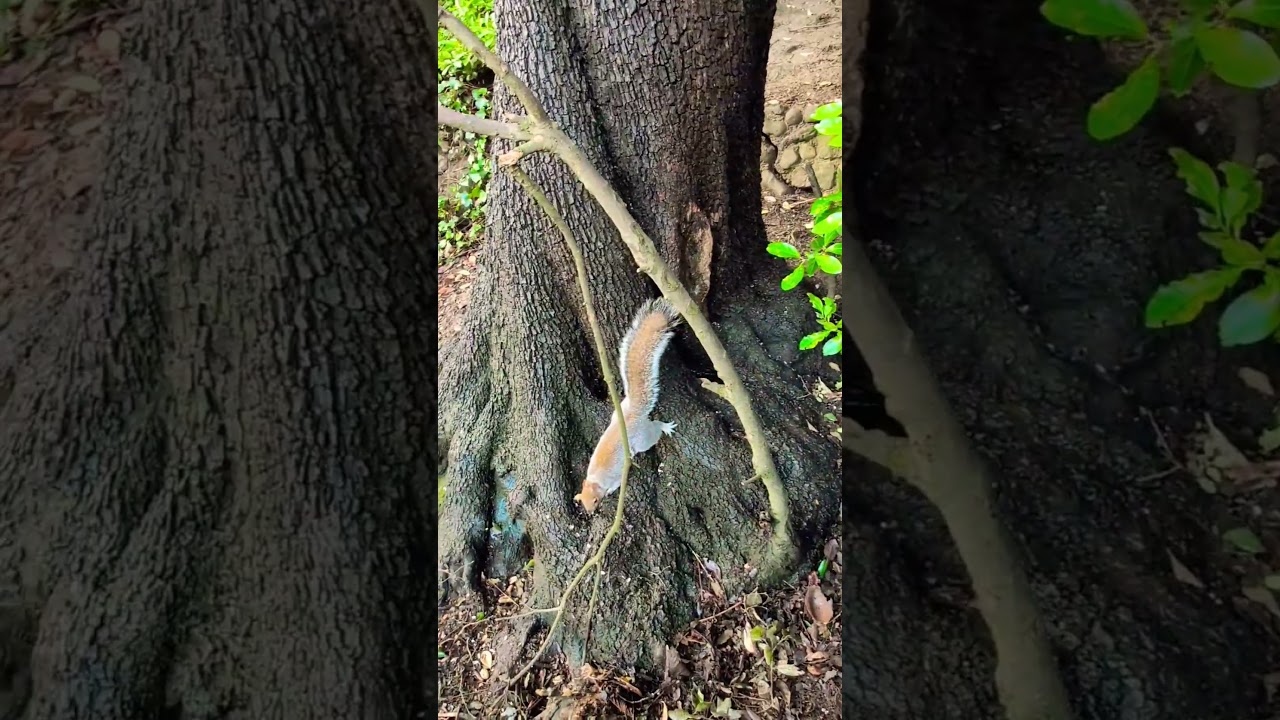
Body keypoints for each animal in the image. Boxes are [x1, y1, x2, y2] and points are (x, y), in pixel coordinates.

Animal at [574, 298, 681, 513]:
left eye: (595, 500)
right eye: (581, 499)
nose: (590, 511)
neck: (596, 479)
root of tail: (633, 413)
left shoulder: (615, 477)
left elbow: (615, 485)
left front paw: (611, 491)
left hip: (643, 437)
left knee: (654, 430)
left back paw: (665, 427)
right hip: (618, 412)